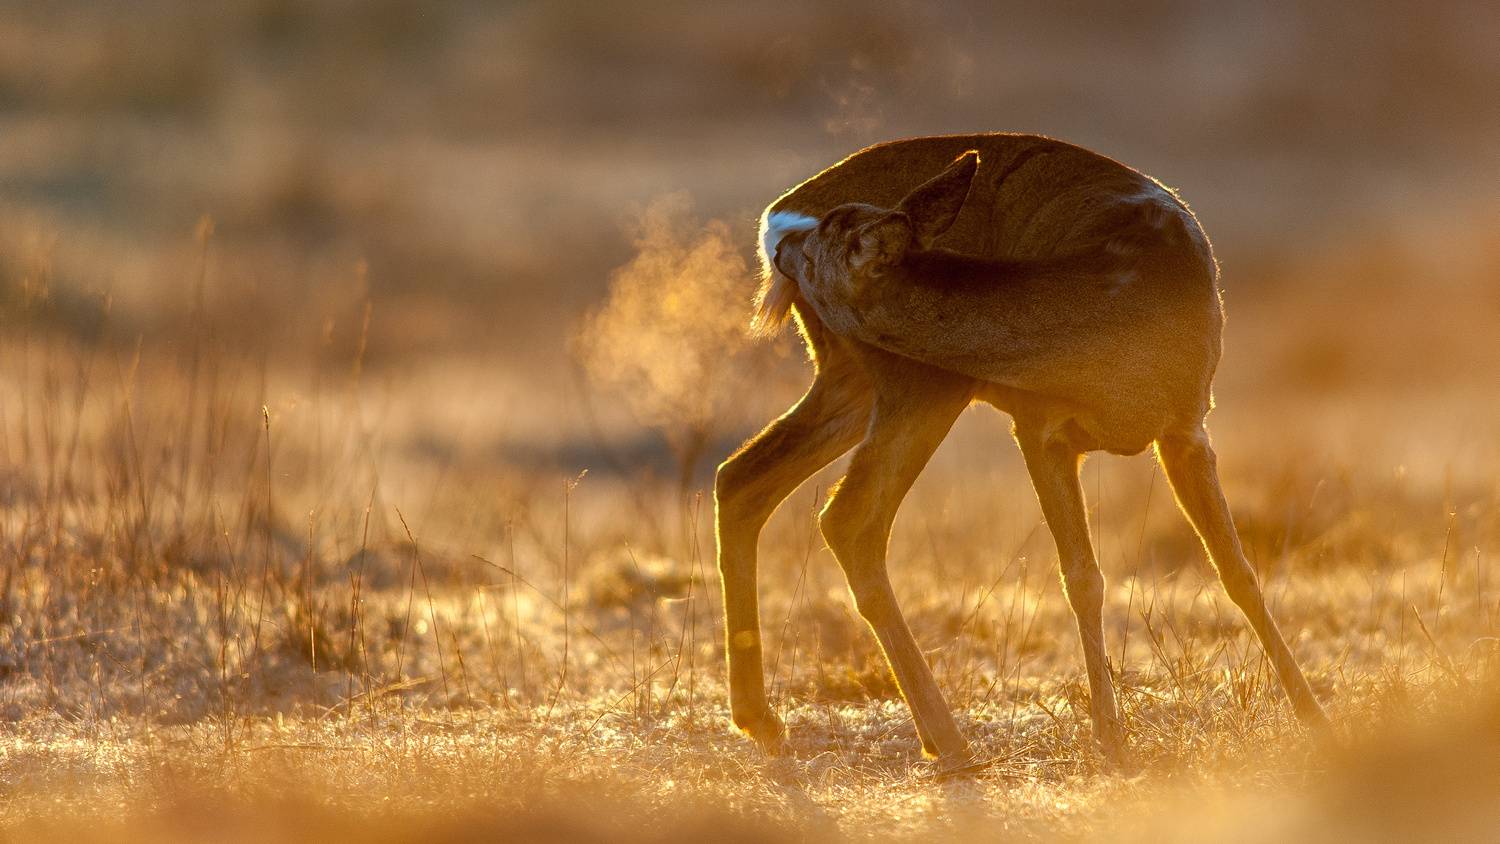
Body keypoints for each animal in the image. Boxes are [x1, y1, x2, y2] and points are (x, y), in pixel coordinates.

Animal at [717, 131, 1338, 767]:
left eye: (826, 240)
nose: (788, 246)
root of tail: (778, 211)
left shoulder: (1188, 424)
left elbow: (1237, 570)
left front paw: (1314, 719)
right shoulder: (1038, 424)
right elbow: (1082, 578)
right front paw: (1110, 737)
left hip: (859, 376)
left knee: (743, 476)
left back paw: (765, 720)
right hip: (922, 380)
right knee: (847, 516)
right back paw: (947, 741)